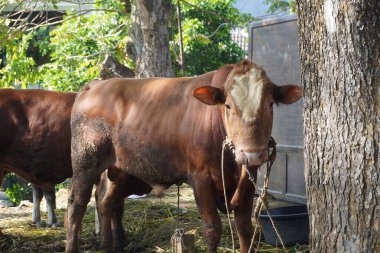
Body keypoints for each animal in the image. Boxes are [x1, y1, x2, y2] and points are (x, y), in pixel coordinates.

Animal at [65, 59, 302, 253]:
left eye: (270, 104)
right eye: (228, 105)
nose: (252, 154)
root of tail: (93, 86)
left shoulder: (248, 182)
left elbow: (245, 228)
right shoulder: (200, 178)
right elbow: (212, 229)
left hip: (118, 169)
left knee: (105, 201)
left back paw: (108, 246)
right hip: (85, 163)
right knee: (77, 205)